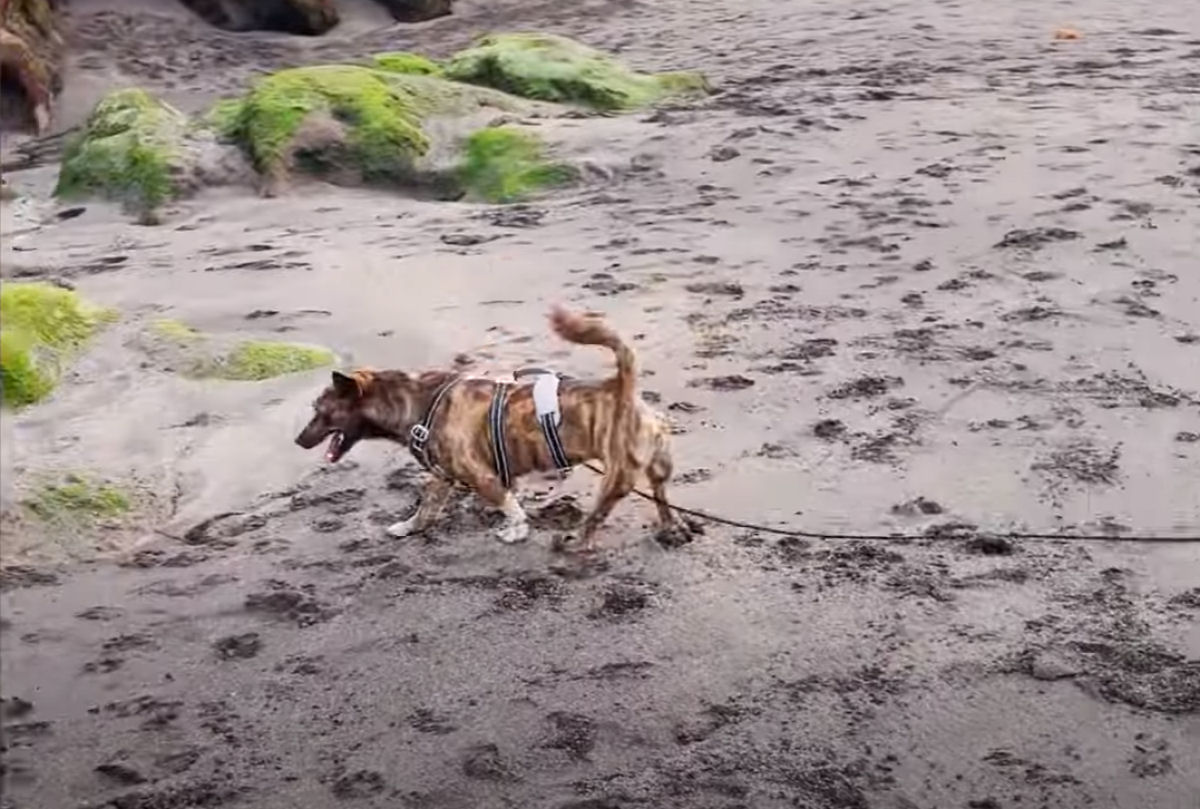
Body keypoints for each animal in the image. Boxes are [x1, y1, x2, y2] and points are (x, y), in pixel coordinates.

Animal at [296, 303, 681, 547]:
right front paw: (407, 527)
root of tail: (621, 385)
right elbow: (425, 508)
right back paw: (672, 528)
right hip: (658, 465)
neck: (417, 402)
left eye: (319, 411)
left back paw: (574, 542)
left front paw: (516, 531)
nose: (298, 441)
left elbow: (509, 506)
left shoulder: (481, 476)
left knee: (597, 517)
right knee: (662, 496)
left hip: (616, 476)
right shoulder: (442, 478)